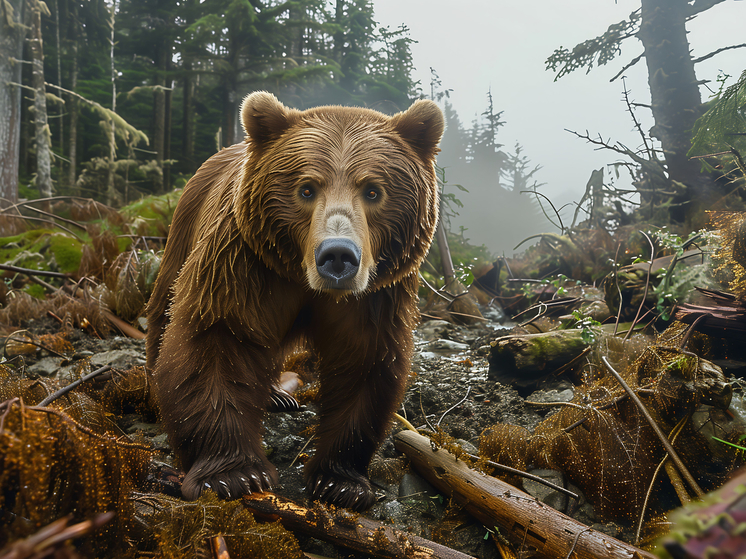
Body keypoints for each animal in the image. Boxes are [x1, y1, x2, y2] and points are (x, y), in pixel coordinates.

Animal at [148, 93, 444, 512]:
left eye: (373, 190)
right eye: (306, 189)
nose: (337, 255)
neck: (304, 279)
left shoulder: (373, 297)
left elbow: (364, 361)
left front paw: (341, 481)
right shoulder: (241, 265)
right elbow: (216, 338)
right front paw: (233, 475)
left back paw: (276, 395)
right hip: (186, 226)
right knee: (164, 305)